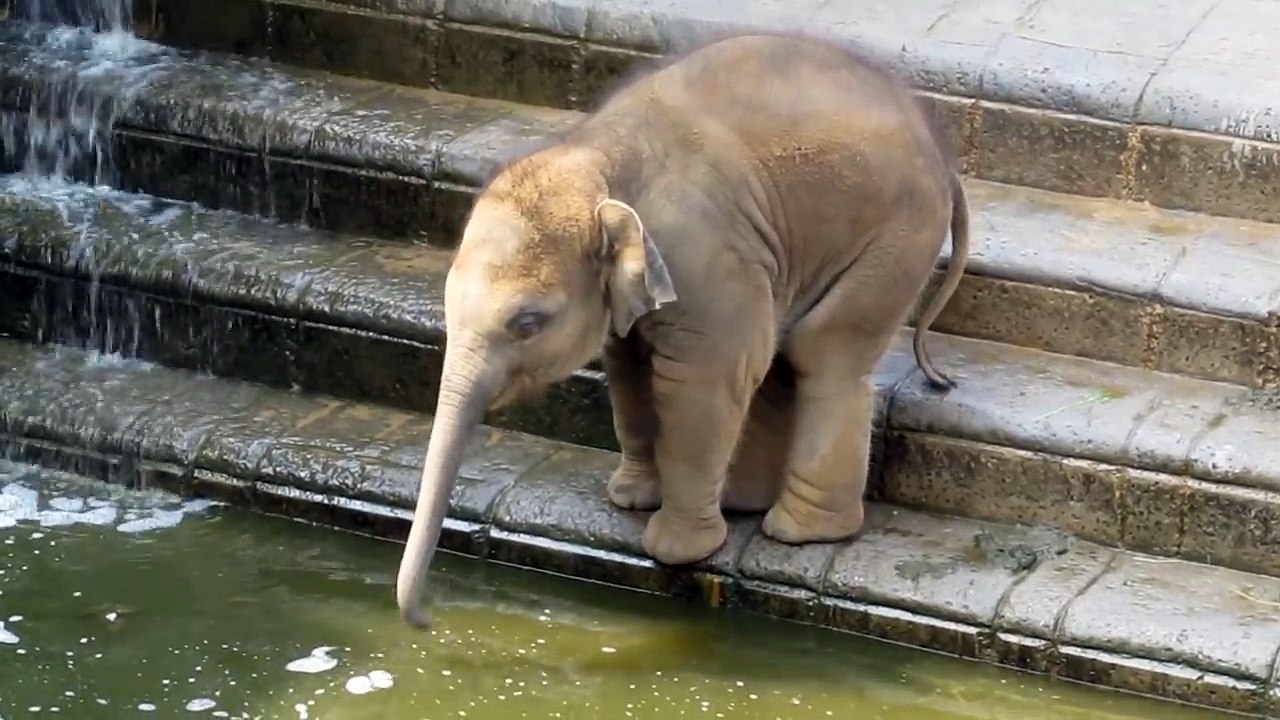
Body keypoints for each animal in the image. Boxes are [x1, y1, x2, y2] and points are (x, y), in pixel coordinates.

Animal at [396, 32, 971, 629]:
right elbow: (628, 366)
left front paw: (676, 549)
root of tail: (942, 152)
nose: (429, 619)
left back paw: (799, 532)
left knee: (822, 350)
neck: (595, 156)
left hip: (896, 237)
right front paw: (631, 499)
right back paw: (743, 501)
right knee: (781, 352)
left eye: (527, 323)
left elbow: (703, 379)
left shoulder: (703, 255)